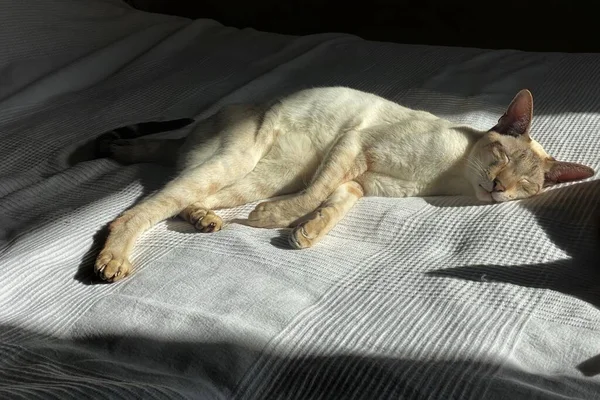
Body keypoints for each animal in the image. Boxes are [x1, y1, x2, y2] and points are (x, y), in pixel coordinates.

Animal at [94, 86, 596, 282]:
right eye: (502, 158)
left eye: (525, 185)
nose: (497, 187)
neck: (445, 178)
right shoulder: (355, 144)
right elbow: (315, 195)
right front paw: (276, 221)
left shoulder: (361, 180)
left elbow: (331, 203)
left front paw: (304, 233)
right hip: (243, 162)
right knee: (137, 211)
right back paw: (112, 262)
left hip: (258, 175)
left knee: (190, 198)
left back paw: (204, 218)